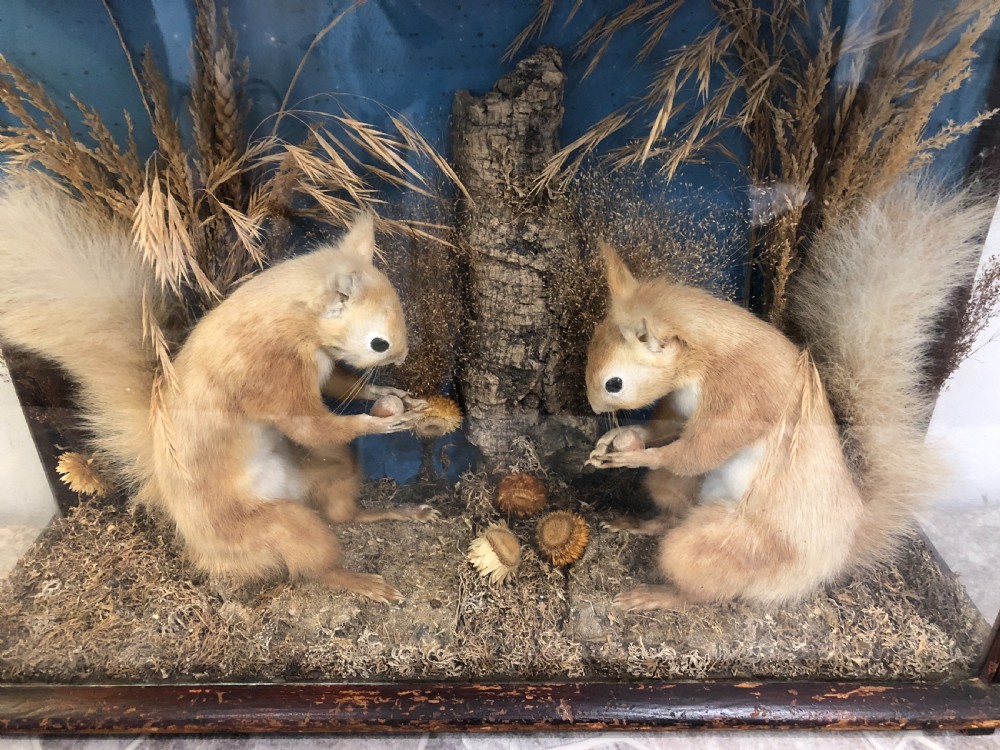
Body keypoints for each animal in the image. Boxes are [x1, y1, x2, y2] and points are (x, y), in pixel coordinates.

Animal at [0, 181, 436, 604]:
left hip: (335, 468)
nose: (402, 357)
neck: (294, 321)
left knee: (342, 515)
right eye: (378, 343)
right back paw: (362, 582)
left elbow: (339, 386)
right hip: (279, 526)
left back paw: (405, 514)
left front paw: (391, 392)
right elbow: (309, 425)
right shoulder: (270, 374)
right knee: (315, 565)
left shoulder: (321, 369)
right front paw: (384, 422)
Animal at [585, 181, 992, 610]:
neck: (705, 359)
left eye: (614, 383)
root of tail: (834, 554)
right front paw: (620, 438)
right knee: (672, 515)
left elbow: (698, 451)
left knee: (705, 588)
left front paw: (636, 456)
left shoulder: (746, 395)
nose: (592, 406)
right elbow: (668, 426)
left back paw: (656, 595)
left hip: (726, 543)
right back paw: (638, 523)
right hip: (678, 491)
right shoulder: (680, 404)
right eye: (592, 340)